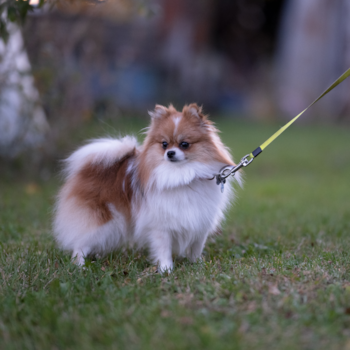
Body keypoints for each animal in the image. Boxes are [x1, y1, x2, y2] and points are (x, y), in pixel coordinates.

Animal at [53, 102, 242, 272]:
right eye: (164, 144)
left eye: (184, 144)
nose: (170, 153)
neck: (182, 176)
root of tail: (88, 168)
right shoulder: (161, 225)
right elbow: (164, 249)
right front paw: (166, 269)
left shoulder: (200, 222)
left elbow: (196, 248)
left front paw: (198, 265)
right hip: (102, 221)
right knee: (80, 242)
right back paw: (80, 265)